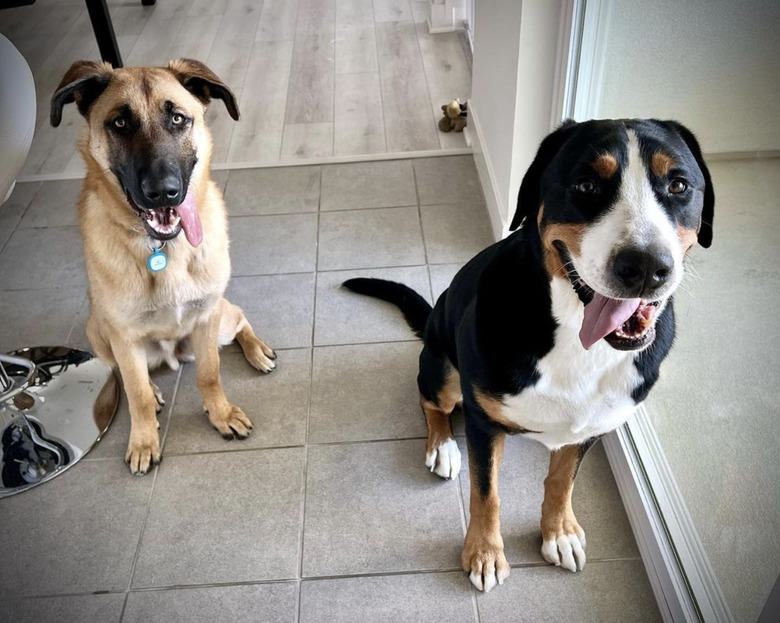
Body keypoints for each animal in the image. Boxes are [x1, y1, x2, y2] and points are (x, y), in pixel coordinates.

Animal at [51, 61, 278, 476]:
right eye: (119, 123)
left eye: (177, 118)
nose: (162, 192)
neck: (163, 248)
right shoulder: (122, 336)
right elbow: (136, 391)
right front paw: (144, 441)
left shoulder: (206, 317)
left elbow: (209, 374)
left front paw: (221, 414)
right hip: (97, 331)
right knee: (126, 374)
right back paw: (155, 389)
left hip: (221, 320)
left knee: (239, 319)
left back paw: (257, 351)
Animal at [342, 119, 712, 592]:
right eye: (586, 184)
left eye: (678, 185)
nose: (646, 266)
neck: (575, 336)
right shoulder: (483, 422)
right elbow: (487, 493)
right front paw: (483, 553)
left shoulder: (591, 426)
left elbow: (561, 481)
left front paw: (559, 532)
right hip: (443, 368)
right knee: (431, 402)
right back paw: (443, 447)